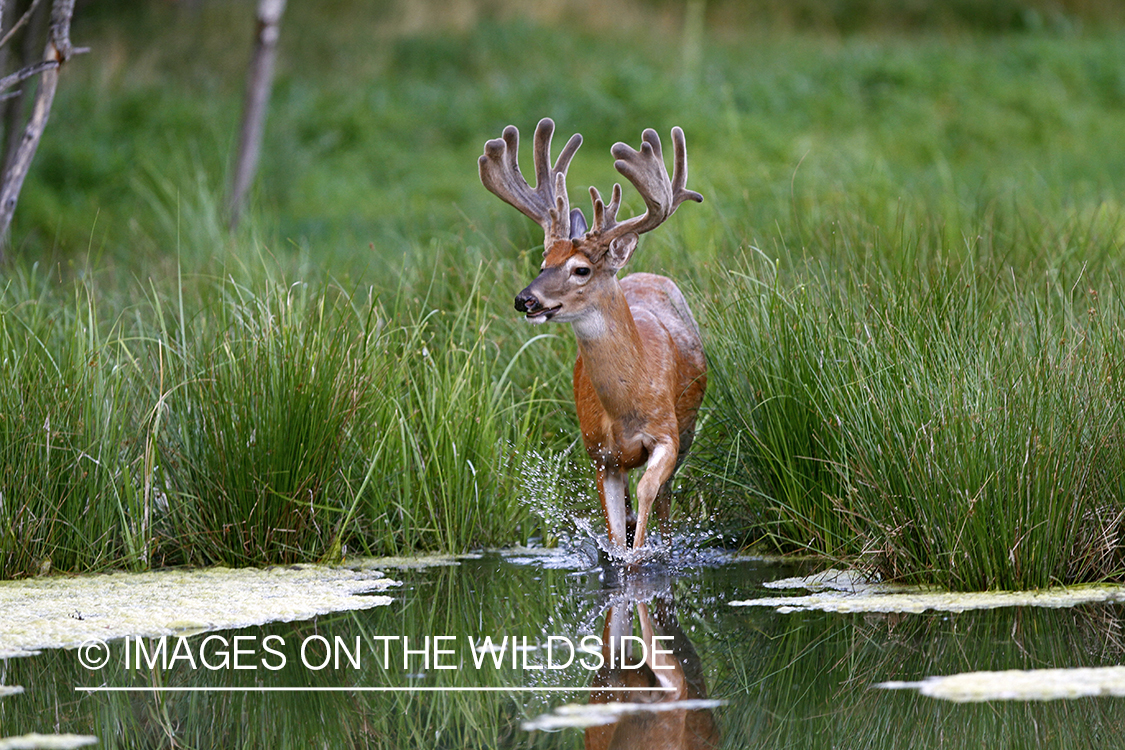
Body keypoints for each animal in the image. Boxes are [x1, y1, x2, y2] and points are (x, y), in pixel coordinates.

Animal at [479, 117, 706, 550]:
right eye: (543, 262)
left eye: (581, 269)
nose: (525, 300)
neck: (627, 404)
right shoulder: (599, 453)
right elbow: (614, 528)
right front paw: (623, 550)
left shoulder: (667, 433)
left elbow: (649, 490)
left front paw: (642, 553)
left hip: (688, 429)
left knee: (665, 498)